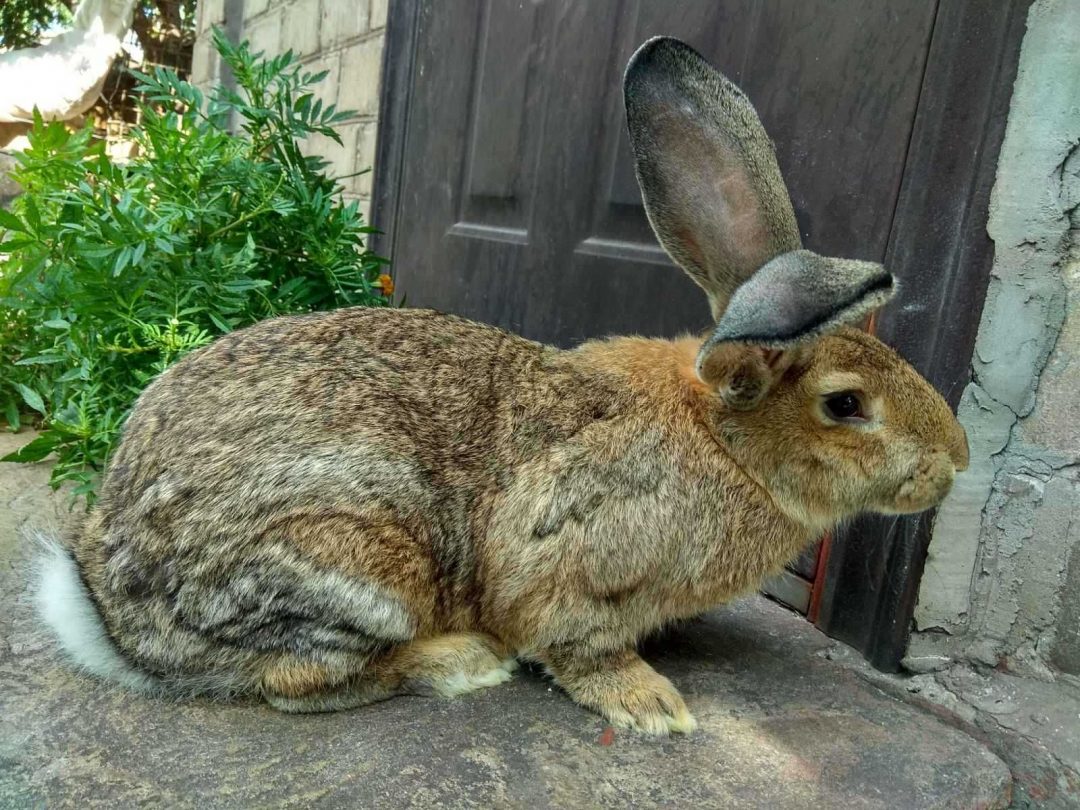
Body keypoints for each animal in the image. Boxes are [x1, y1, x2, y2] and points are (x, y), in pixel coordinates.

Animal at [35, 38, 972, 734]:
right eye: (846, 405)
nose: (955, 462)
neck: (723, 441)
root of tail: (118, 619)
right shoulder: (570, 567)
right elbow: (574, 641)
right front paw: (653, 705)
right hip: (358, 565)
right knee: (297, 683)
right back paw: (461, 664)